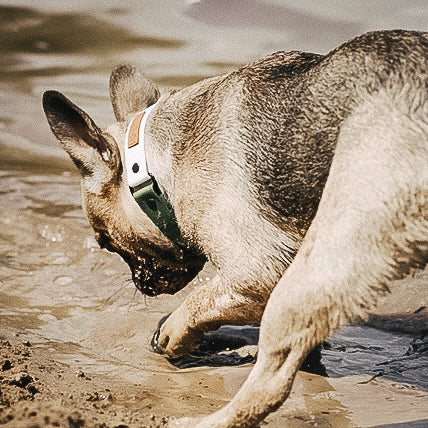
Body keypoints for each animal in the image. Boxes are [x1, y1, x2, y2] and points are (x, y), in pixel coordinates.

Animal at [41, 28, 426, 426]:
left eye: (105, 242)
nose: (141, 284)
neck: (157, 166)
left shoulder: (257, 274)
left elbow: (199, 303)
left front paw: (174, 333)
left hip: (326, 258)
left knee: (269, 386)